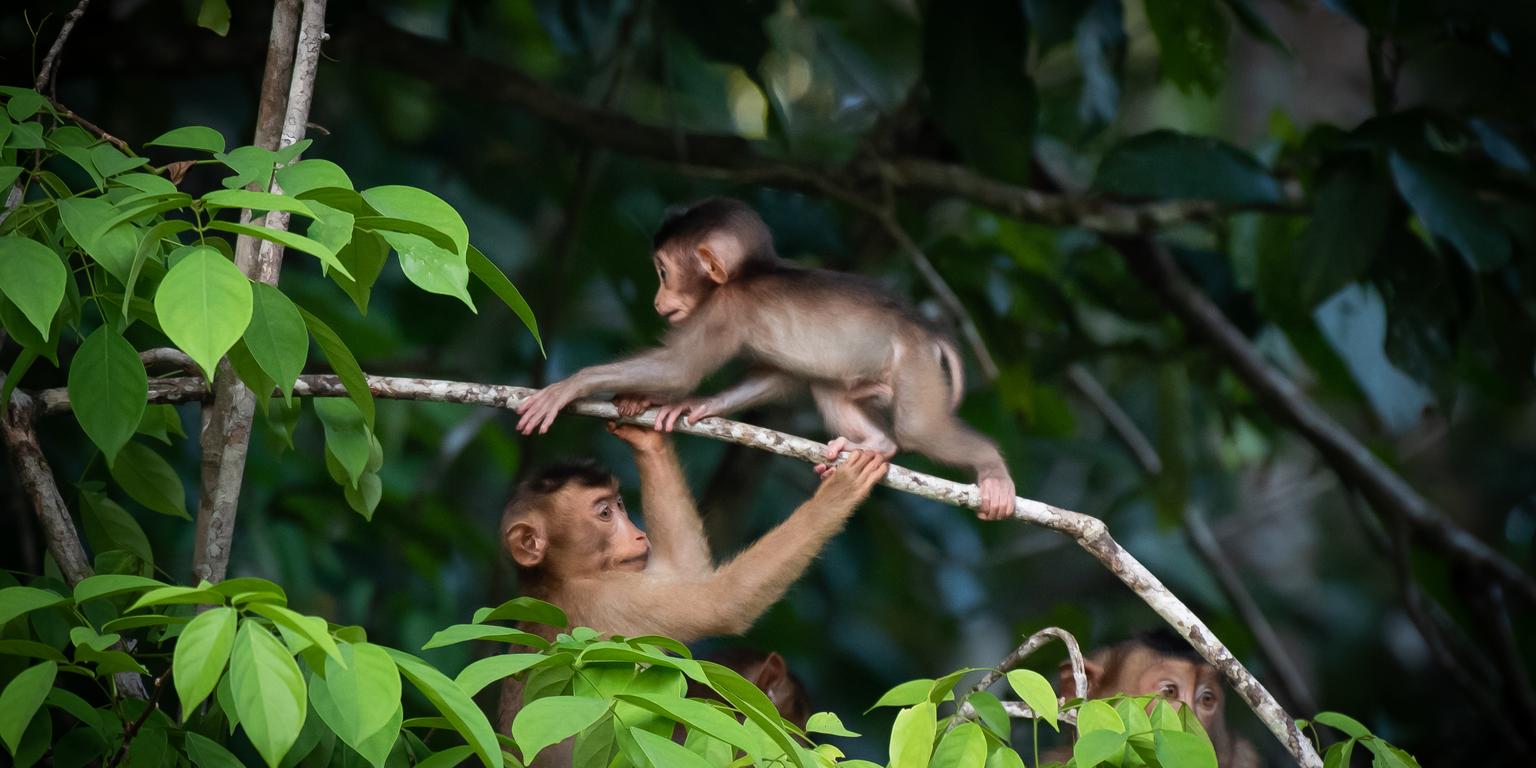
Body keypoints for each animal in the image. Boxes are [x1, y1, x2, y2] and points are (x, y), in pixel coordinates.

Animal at [517, 197, 1017, 520]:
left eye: (662, 272)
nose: (659, 300)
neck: (747, 273)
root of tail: (926, 328)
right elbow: (781, 375)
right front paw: (688, 405)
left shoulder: (724, 309)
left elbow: (679, 369)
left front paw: (569, 387)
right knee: (831, 388)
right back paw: (875, 445)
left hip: (914, 364)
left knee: (918, 428)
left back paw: (992, 469)